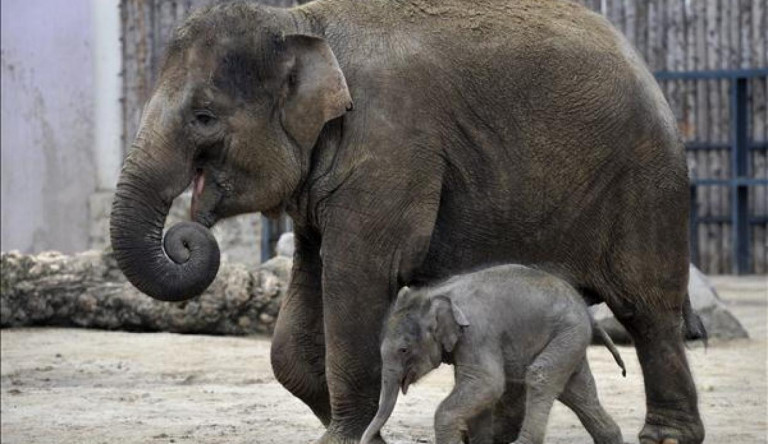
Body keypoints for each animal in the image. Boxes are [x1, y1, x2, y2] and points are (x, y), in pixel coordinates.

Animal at [362, 266, 624, 442]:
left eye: (404, 350)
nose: (367, 440)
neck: (435, 293)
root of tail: (586, 310)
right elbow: (479, 390)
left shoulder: (477, 333)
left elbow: (488, 383)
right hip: (571, 338)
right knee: (579, 393)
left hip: (569, 332)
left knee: (541, 376)